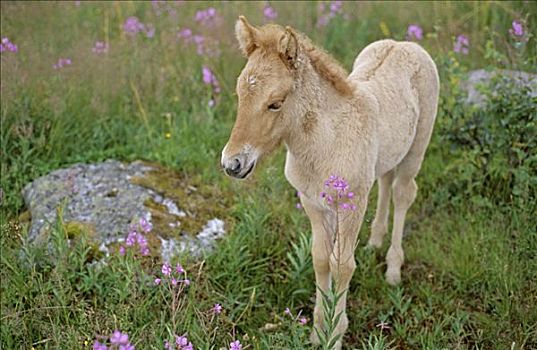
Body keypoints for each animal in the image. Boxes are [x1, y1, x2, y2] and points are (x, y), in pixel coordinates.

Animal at [220, 15, 438, 348]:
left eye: (275, 103)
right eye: (240, 94)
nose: (232, 164)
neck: (326, 141)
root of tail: (404, 43)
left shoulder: (352, 204)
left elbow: (342, 264)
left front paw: (335, 334)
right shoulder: (312, 202)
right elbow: (322, 259)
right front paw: (317, 329)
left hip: (417, 149)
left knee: (403, 192)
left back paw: (392, 270)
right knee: (385, 181)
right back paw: (374, 242)